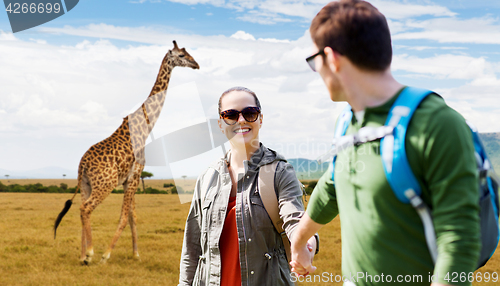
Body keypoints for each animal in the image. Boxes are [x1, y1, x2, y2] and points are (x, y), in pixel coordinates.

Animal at [54, 40, 199, 266]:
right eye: (182, 55)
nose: (196, 64)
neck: (144, 127)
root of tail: (82, 165)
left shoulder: (128, 179)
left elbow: (132, 216)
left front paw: (136, 254)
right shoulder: (135, 174)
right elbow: (124, 217)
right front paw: (106, 255)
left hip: (86, 184)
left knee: (81, 208)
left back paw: (82, 255)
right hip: (104, 184)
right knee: (86, 208)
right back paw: (91, 253)